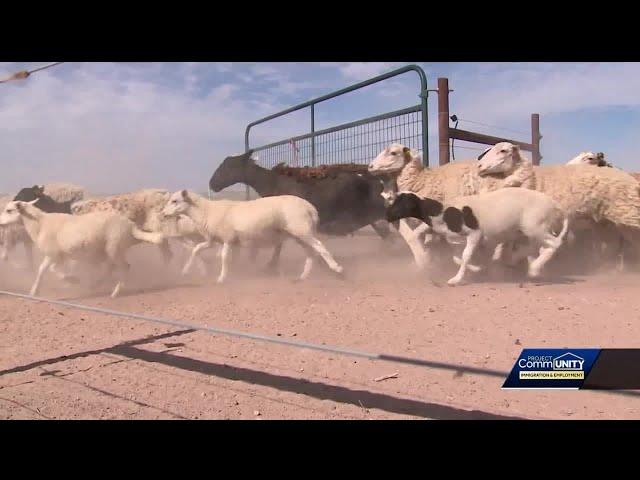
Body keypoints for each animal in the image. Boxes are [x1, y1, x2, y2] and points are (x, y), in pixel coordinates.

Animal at [0, 199, 168, 296]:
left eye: (9, 210)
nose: (0, 223)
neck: (39, 224)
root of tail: (131, 227)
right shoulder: (56, 255)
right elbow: (43, 270)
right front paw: (34, 291)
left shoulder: (55, 255)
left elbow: (51, 270)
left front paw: (72, 280)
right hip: (110, 250)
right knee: (111, 268)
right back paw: (95, 285)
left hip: (114, 247)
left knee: (125, 267)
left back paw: (115, 292)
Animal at [162, 189, 342, 284]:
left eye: (175, 201)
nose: (163, 214)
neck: (206, 211)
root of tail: (310, 207)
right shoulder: (214, 240)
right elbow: (197, 250)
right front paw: (186, 271)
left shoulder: (227, 239)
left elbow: (224, 257)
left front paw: (221, 277)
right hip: (298, 234)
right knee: (310, 253)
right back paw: (303, 276)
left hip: (302, 230)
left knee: (319, 246)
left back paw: (337, 268)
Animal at [384, 188, 568, 284]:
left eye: (401, 203)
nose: (386, 216)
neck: (444, 212)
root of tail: (554, 203)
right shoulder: (456, 242)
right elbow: (458, 258)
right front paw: (477, 269)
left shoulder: (475, 234)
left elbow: (465, 256)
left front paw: (456, 279)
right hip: (535, 230)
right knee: (542, 247)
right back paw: (534, 268)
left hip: (534, 227)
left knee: (555, 243)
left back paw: (533, 268)